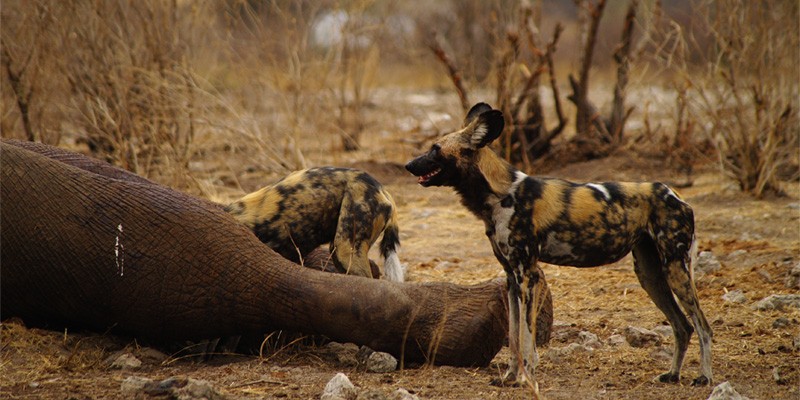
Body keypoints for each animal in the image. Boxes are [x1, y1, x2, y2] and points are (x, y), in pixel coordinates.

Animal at [406, 103, 712, 388]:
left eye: (435, 149)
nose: (408, 165)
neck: (499, 194)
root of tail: (675, 194)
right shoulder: (512, 279)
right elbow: (514, 335)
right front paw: (510, 377)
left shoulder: (528, 275)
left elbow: (526, 337)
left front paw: (525, 378)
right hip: (651, 275)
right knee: (683, 326)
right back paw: (673, 374)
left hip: (676, 270)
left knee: (703, 326)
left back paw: (704, 377)